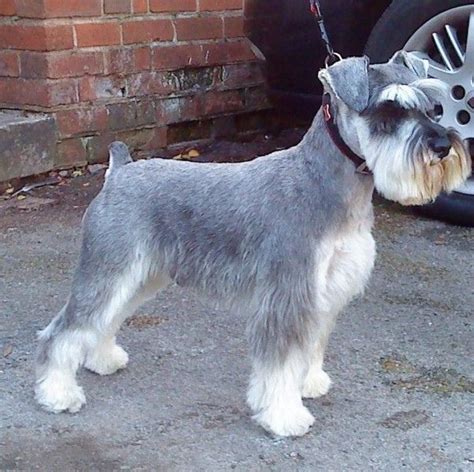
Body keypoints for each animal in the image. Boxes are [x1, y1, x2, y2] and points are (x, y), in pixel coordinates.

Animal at [34, 50, 470, 436]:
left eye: (434, 108)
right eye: (390, 110)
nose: (442, 146)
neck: (325, 183)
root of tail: (120, 171)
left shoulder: (322, 293)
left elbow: (310, 347)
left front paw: (308, 383)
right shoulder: (289, 294)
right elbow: (280, 363)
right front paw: (284, 416)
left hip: (141, 276)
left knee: (105, 319)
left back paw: (102, 359)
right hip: (108, 268)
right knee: (64, 330)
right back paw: (57, 393)